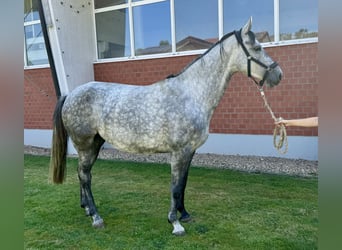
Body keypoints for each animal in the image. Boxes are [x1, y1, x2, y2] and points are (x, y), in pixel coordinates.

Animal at [49, 17, 282, 234]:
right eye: (257, 48)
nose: (278, 75)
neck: (191, 94)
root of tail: (71, 94)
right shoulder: (179, 152)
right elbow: (176, 187)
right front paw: (175, 222)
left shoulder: (190, 152)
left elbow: (183, 184)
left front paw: (184, 214)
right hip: (85, 145)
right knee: (85, 176)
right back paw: (96, 217)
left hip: (95, 144)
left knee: (83, 175)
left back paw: (87, 208)